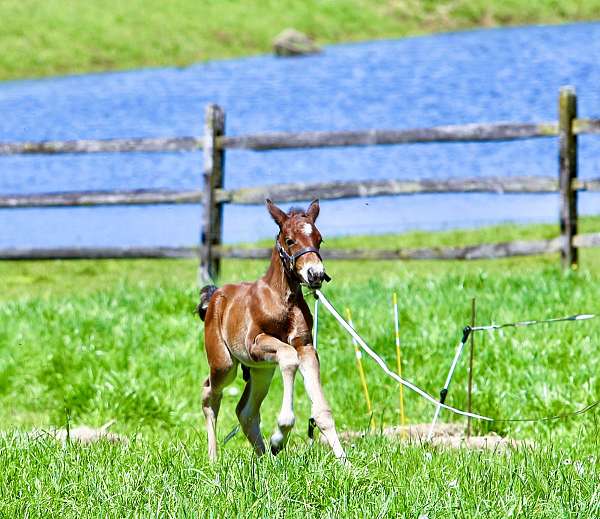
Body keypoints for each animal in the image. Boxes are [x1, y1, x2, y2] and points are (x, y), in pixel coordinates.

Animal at [198, 199, 344, 464]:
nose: (316, 274)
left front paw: (345, 463)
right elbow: (288, 357)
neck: (282, 300)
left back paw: (264, 458)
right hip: (225, 364)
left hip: (261, 370)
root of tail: (214, 295)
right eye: (289, 240)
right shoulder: (255, 343)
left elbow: (322, 411)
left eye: (319, 239)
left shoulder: (305, 347)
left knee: (245, 410)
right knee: (209, 394)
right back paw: (214, 458)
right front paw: (279, 437)